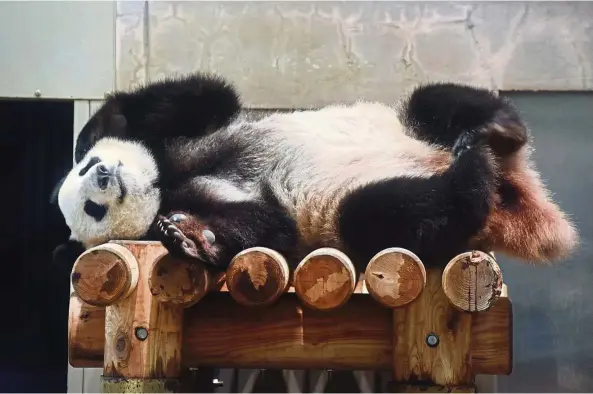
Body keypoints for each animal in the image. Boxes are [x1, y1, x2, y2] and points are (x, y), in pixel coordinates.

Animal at [51, 71, 580, 274]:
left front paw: (97, 130)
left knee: (435, 102)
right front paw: (191, 239)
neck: (166, 182)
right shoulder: (204, 198)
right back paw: (471, 173)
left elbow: (202, 96)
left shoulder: (190, 137)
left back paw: (496, 131)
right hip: (352, 215)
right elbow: (271, 228)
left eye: (88, 169)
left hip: (410, 123)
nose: (104, 175)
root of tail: (516, 195)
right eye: (93, 210)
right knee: (387, 213)